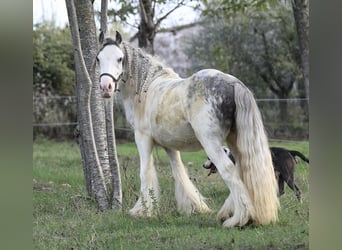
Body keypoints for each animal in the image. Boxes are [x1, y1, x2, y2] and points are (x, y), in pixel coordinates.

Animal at [95, 30, 280, 228]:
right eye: (98, 58)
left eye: (120, 58)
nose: (106, 87)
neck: (146, 88)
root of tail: (233, 83)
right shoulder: (168, 144)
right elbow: (179, 171)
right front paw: (193, 206)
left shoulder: (142, 138)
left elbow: (145, 172)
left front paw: (142, 211)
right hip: (235, 142)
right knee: (242, 171)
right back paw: (235, 213)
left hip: (211, 143)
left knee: (229, 171)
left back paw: (238, 219)